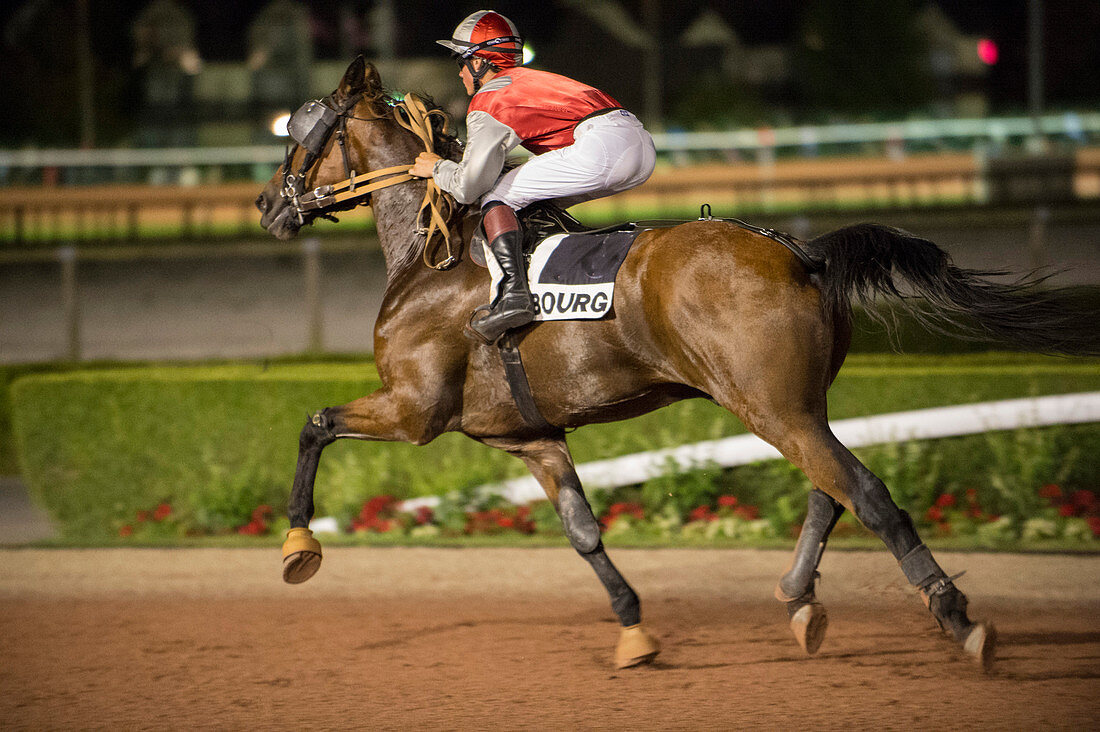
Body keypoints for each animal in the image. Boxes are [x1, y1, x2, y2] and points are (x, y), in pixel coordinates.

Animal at [255, 58, 1100, 669]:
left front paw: (298, 546)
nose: (267, 204)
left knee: (864, 492)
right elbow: (583, 530)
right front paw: (633, 629)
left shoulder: (413, 408)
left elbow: (313, 423)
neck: (435, 258)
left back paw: (956, 617)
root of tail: (804, 254)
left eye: (298, 136)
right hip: (797, 405)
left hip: (768, 405)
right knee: (832, 491)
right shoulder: (526, 436)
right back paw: (801, 601)